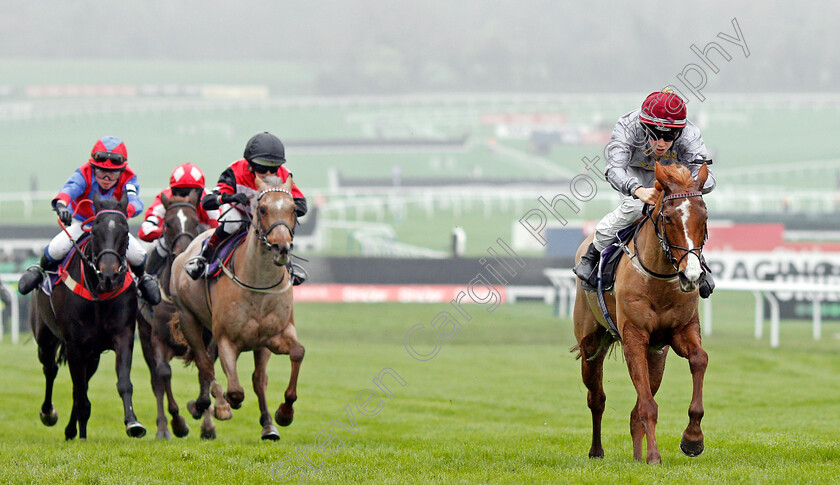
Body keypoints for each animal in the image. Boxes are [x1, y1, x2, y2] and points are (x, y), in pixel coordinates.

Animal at [135, 189, 217, 438]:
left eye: (195, 222)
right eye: (168, 223)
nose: (182, 254)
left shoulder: (209, 336)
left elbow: (206, 369)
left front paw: (205, 420)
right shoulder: (158, 337)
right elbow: (163, 375)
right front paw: (178, 423)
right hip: (144, 336)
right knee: (156, 381)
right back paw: (163, 427)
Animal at [169, 174, 304, 438]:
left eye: (293, 209)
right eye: (262, 209)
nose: (281, 247)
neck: (258, 284)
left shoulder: (275, 335)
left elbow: (296, 353)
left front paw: (284, 413)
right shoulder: (226, 339)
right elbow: (234, 390)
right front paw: (224, 403)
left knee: (256, 378)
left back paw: (267, 425)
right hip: (189, 318)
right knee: (205, 364)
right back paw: (216, 406)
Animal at [572, 161, 708, 464]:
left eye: (704, 217)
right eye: (667, 218)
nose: (692, 276)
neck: (659, 278)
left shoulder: (681, 331)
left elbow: (699, 360)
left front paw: (692, 439)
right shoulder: (634, 335)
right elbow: (647, 405)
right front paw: (654, 456)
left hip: (657, 355)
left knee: (636, 407)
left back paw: (636, 456)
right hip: (590, 343)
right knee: (596, 398)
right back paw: (596, 451)